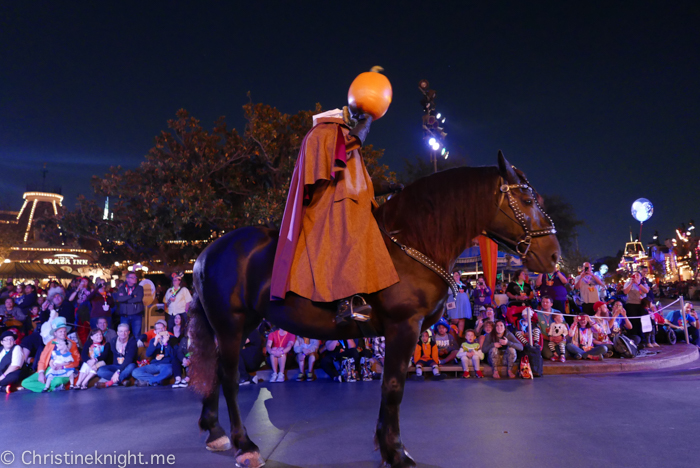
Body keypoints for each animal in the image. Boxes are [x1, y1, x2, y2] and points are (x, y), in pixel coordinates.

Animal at [189, 152, 560, 466]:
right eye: (528, 200)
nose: (554, 256)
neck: (409, 243)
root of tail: (207, 253)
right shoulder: (403, 326)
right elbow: (393, 387)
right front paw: (395, 451)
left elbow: (389, 385)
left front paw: (386, 446)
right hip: (230, 325)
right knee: (228, 376)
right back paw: (244, 444)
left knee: (215, 371)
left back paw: (215, 431)